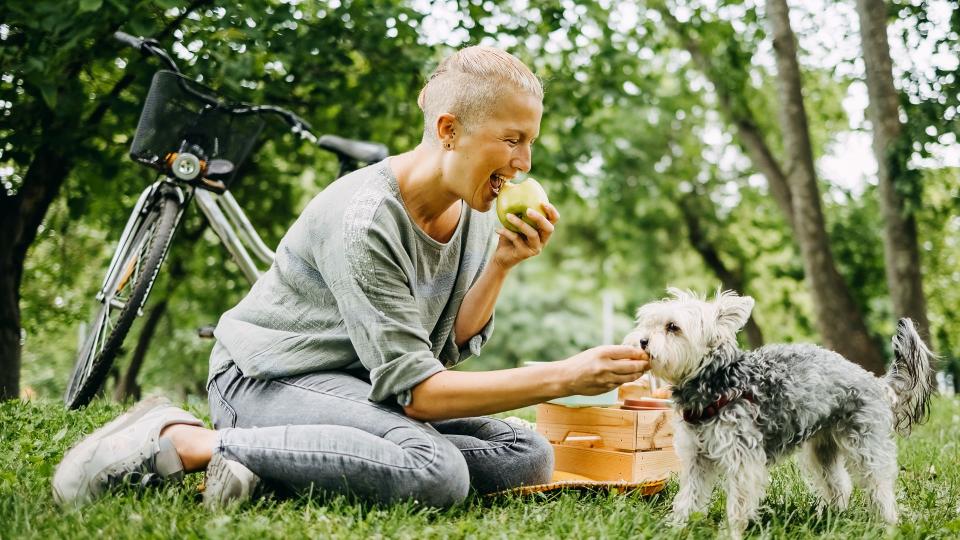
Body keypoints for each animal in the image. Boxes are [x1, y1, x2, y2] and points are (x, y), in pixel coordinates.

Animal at [624, 288, 936, 532]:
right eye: (649, 323)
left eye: (672, 327)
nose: (641, 341)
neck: (717, 383)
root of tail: (876, 381)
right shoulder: (697, 459)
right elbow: (687, 498)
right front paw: (677, 527)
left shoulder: (743, 461)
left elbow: (738, 505)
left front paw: (730, 533)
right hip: (822, 451)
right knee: (839, 485)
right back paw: (832, 518)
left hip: (866, 447)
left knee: (880, 486)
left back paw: (888, 523)